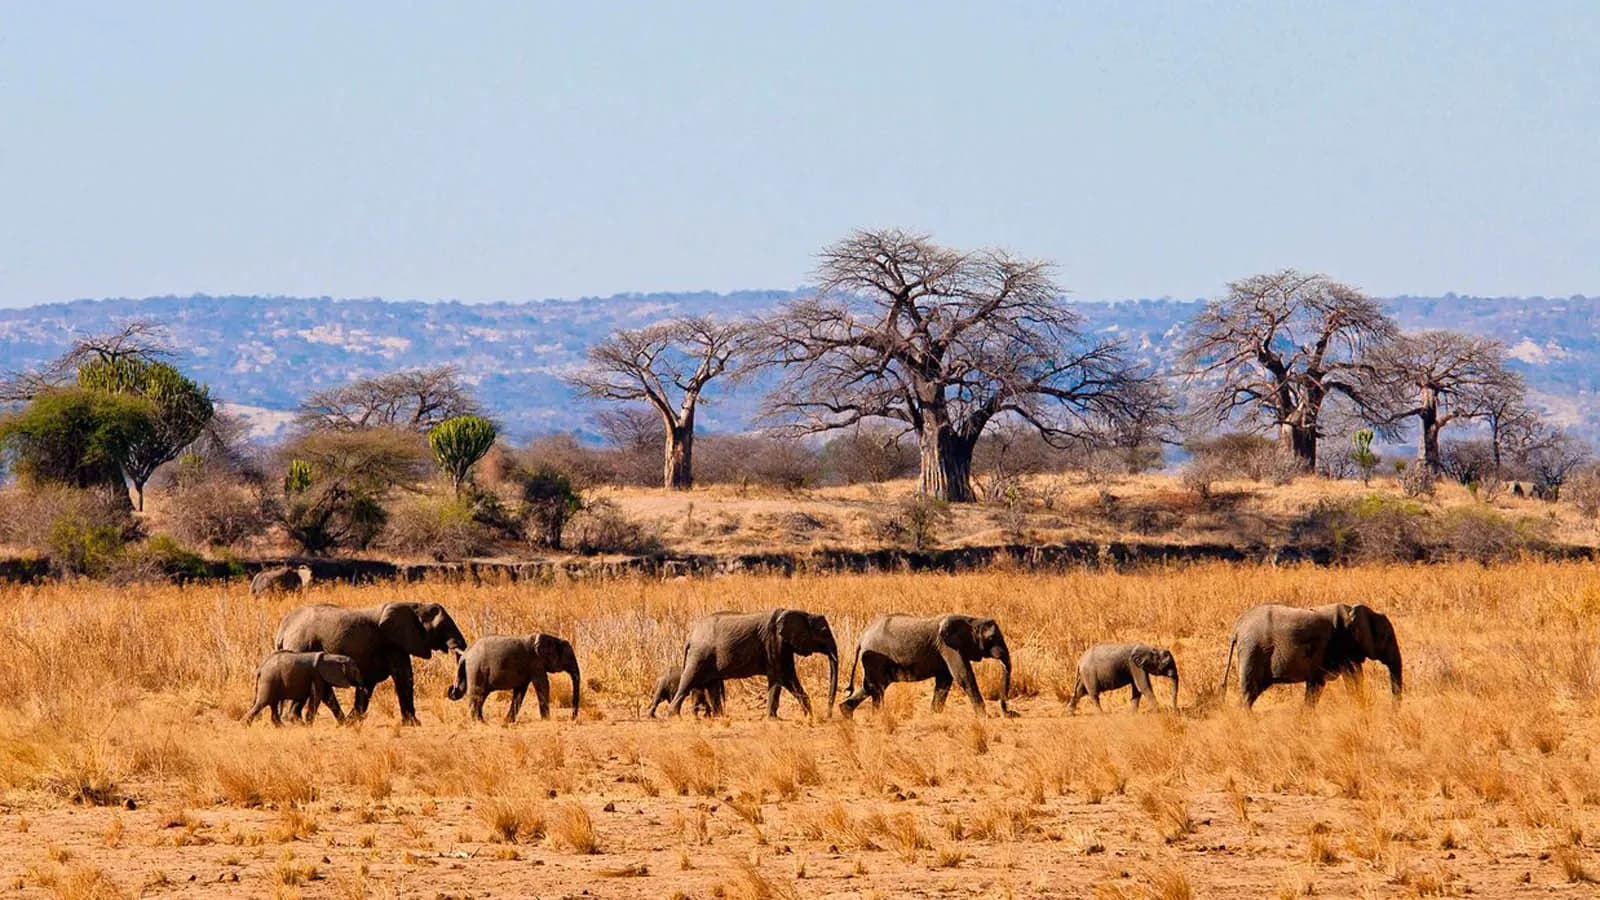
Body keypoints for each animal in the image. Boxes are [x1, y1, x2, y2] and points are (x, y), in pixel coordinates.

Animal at [274, 601, 468, 725]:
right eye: (442, 627)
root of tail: (283, 628)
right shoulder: (392, 643)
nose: (450, 690)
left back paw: (339, 722)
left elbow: (368, 684)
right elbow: (404, 677)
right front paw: (414, 724)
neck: (416, 606)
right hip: (302, 646)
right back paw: (296, 721)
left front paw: (355, 721)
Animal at [447, 633, 582, 722]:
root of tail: (465, 654)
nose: (572, 718)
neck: (553, 638)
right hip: (476, 669)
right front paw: (547, 720)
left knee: (481, 696)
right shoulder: (535, 663)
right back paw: (479, 722)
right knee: (477, 694)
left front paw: (508, 721)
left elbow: (520, 690)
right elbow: (543, 685)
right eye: (570, 658)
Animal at [668, 608, 839, 719]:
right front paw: (772, 719)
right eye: (824, 632)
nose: (828, 716)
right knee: (688, 681)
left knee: (712, 685)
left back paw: (719, 717)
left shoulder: (784, 646)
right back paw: (674, 716)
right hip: (700, 654)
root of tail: (690, 637)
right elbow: (778, 678)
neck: (803, 613)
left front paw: (809, 716)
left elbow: (790, 678)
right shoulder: (773, 642)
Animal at [838, 613, 1016, 718]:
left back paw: (846, 713)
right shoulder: (949, 648)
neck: (971, 620)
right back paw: (877, 716)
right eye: (991, 638)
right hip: (875, 659)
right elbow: (963, 676)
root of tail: (861, 637)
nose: (1011, 712)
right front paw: (983, 717)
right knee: (876, 687)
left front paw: (935, 714)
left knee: (872, 686)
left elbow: (945, 681)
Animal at [1220, 603, 1403, 708]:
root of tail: (1237, 628)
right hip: (1253, 650)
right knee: (1249, 691)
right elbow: (1353, 677)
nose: (1393, 711)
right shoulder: (1342, 645)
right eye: (1387, 637)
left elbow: (1316, 685)